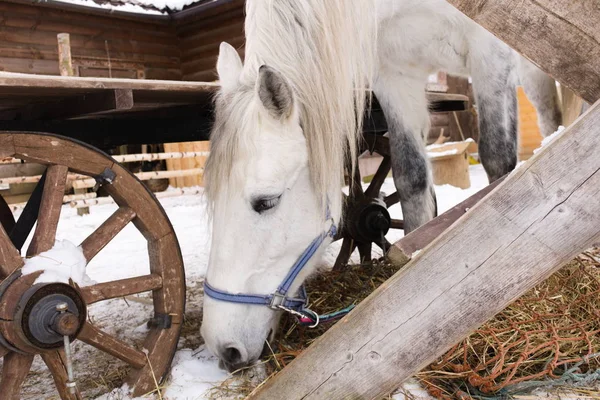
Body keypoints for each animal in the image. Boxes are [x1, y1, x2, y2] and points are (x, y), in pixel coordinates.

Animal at [202, 0, 564, 370]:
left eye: (265, 201)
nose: (224, 347)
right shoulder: (395, 73)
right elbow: (411, 176)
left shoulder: (490, 51)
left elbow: (497, 160)